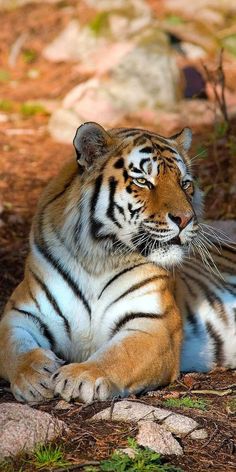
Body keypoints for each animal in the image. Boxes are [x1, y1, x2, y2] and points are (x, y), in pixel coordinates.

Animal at [0, 121, 235, 402]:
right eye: (143, 181)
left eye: (185, 183)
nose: (186, 219)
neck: (97, 258)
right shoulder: (20, 312)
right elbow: (15, 348)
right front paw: (34, 375)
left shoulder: (155, 324)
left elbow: (118, 355)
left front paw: (80, 376)